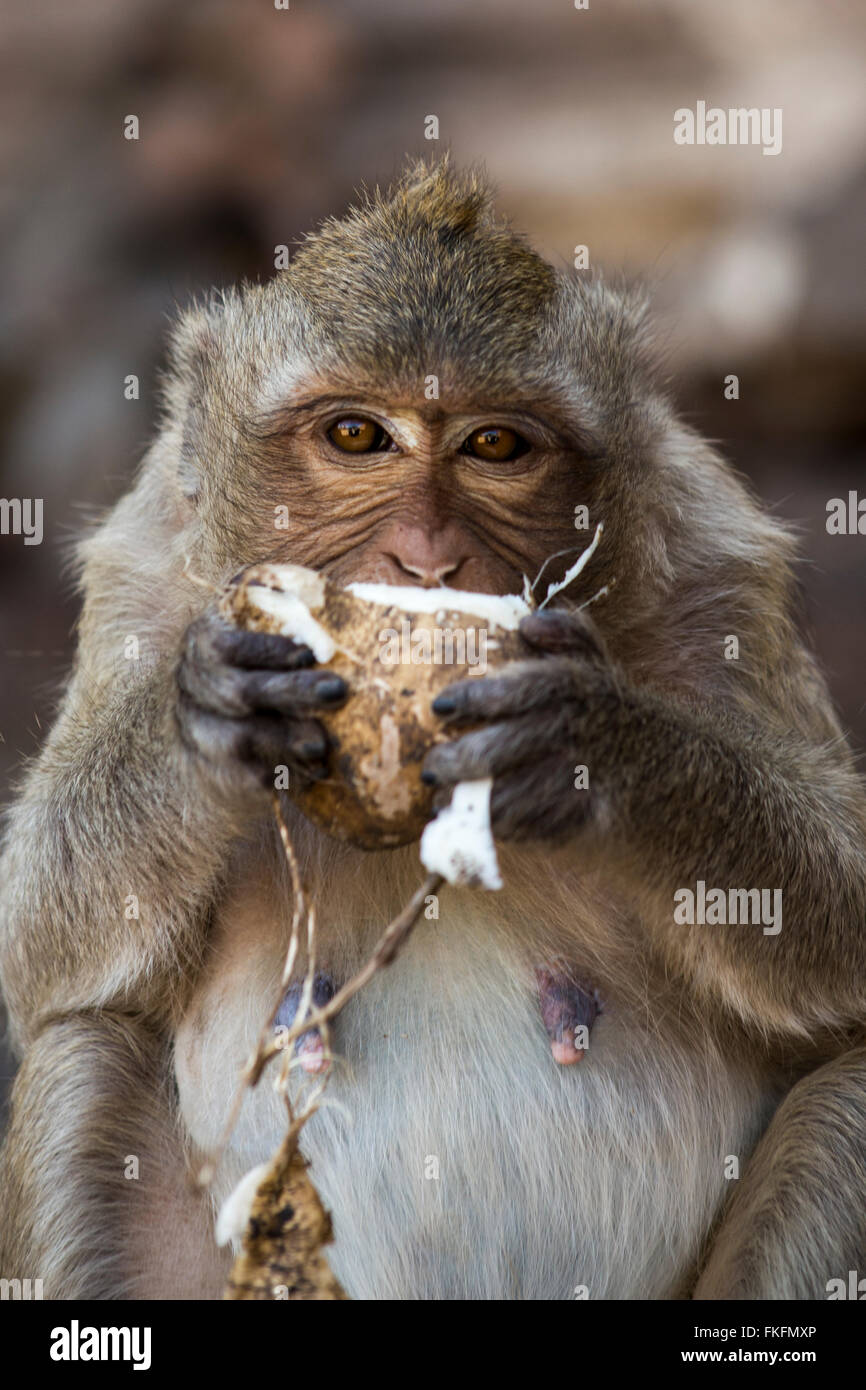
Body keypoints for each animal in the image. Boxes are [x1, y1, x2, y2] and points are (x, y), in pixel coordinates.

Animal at [2, 157, 866, 1301]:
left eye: (493, 444)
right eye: (355, 435)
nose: (425, 558)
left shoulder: (714, 559)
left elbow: (842, 926)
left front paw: (592, 743)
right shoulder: (144, 568)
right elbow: (38, 947)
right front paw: (212, 711)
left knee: (849, 1092)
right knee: (79, 1060)